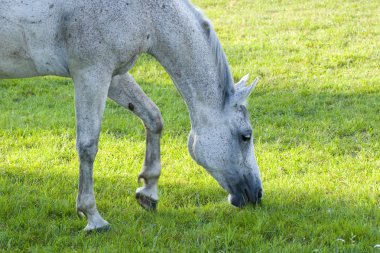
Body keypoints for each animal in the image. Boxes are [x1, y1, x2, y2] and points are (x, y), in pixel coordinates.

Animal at [0, 0, 262, 232]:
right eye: (245, 136)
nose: (257, 194)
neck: (146, 12)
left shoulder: (114, 75)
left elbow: (153, 117)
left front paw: (149, 192)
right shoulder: (92, 74)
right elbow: (88, 146)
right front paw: (93, 218)